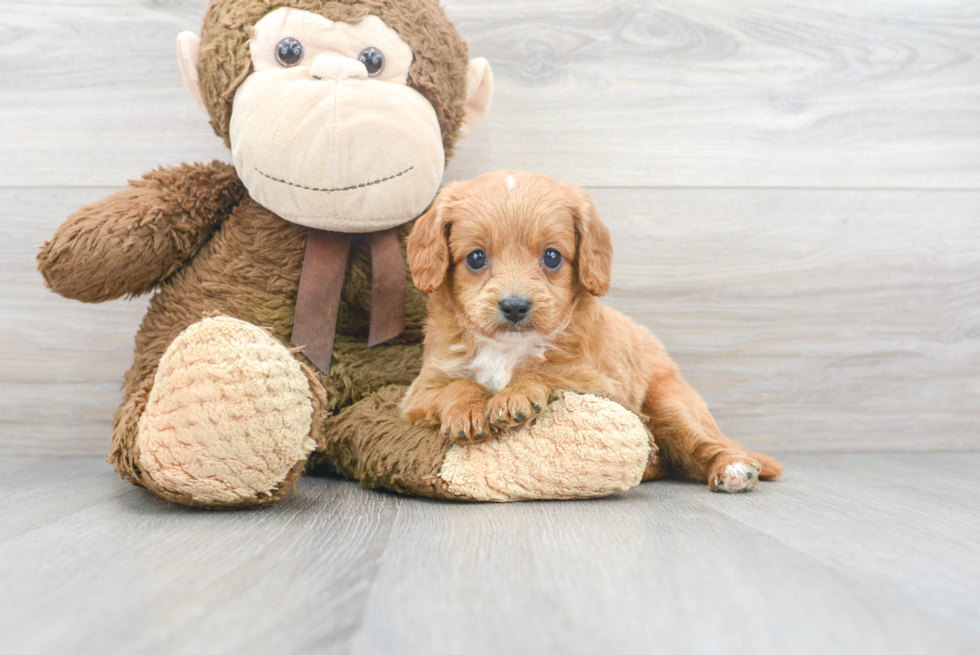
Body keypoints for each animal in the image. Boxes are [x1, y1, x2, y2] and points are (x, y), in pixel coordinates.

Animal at [402, 170, 784, 492]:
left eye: (552, 257)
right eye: (476, 258)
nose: (514, 306)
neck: (508, 350)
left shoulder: (599, 385)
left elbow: (545, 370)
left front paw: (514, 395)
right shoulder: (420, 392)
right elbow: (459, 385)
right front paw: (468, 410)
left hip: (671, 404)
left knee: (704, 443)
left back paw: (733, 468)